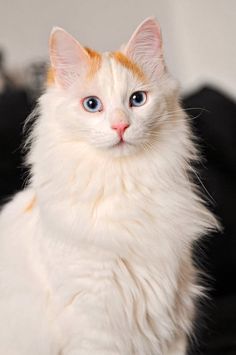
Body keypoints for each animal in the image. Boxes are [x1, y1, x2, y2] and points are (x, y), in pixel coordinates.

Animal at [0, 17, 218, 355]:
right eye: (92, 104)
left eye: (137, 100)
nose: (120, 126)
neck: (125, 183)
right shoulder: (96, 329)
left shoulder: (172, 322)